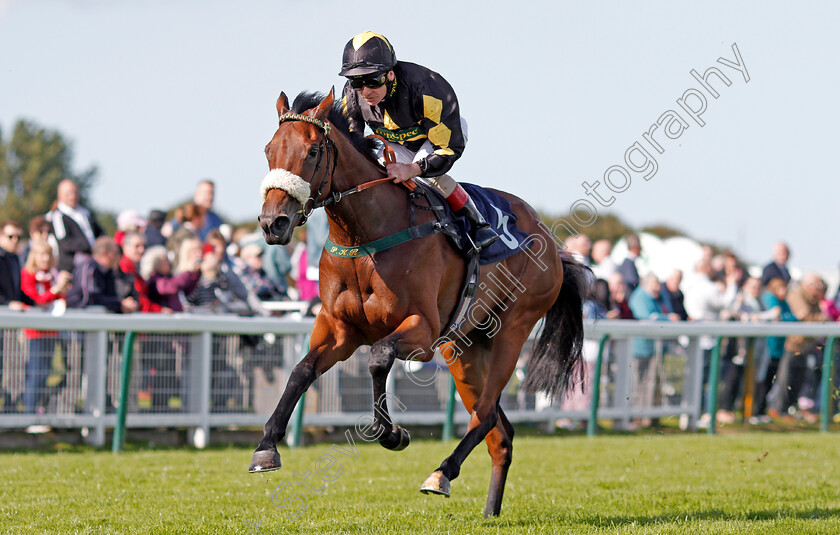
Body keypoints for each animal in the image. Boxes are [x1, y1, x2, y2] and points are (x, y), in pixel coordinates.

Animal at [253, 90, 588, 516]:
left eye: (312, 151)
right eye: (269, 150)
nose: (272, 223)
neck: (367, 236)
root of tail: (549, 239)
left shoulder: (423, 332)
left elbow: (379, 358)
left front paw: (390, 433)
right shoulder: (338, 330)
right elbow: (301, 371)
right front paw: (266, 447)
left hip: (512, 330)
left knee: (484, 416)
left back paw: (441, 474)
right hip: (464, 348)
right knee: (499, 432)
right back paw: (490, 511)